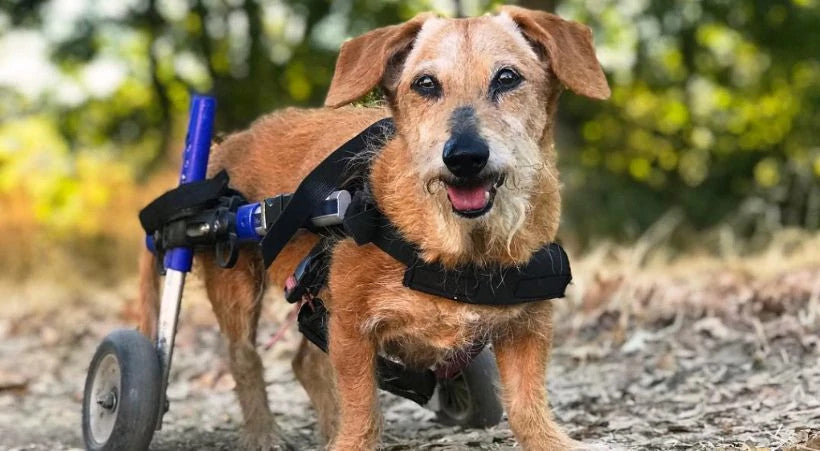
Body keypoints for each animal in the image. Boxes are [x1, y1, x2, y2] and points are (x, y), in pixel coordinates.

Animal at [136, 4, 608, 451]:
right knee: (244, 359)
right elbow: (362, 406)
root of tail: (224, 147)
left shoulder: (527, 327)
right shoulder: (350, 327)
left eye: (507, 78)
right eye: (425, 84)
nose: (464, 157)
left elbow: (528, 402)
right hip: (239, 288)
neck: (458, 243)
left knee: (304, 363)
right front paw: (351, 442)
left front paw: (553, 441)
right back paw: (263, 433)